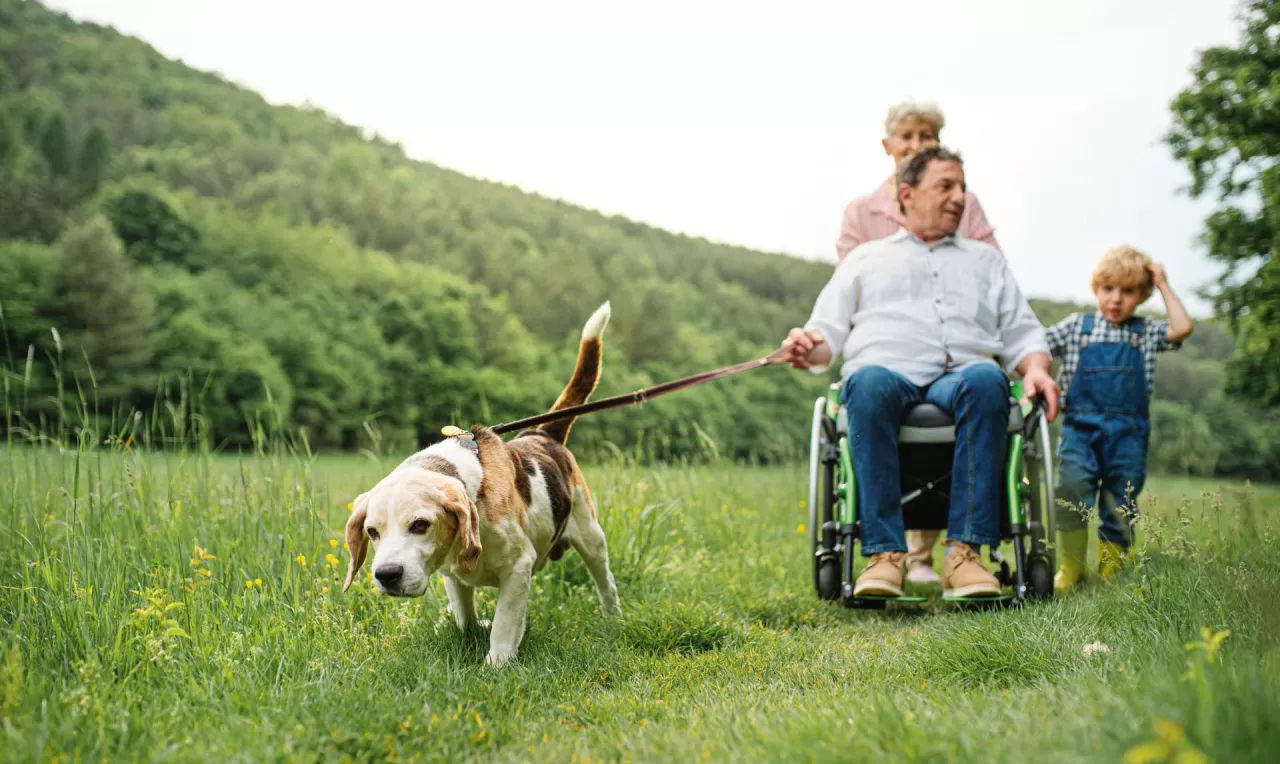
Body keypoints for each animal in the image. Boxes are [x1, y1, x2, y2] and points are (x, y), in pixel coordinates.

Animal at [340, 300, 619, 665]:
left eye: (420, 525)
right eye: (372, 532)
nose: (387, 575)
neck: (473, 490)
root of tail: (542, 433)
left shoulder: (518, 568)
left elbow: (504, 622)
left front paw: (497, 662)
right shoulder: (453, 573)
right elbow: (464, 615)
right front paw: (471, 627)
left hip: (591, 536)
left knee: (605, 581)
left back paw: (613, 617)